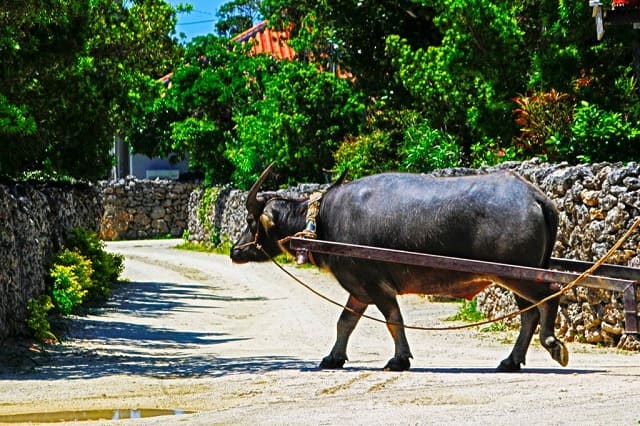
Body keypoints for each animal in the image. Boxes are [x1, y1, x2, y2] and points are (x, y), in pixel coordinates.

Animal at [229, 164, 564, 372]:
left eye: (250, 221)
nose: (235, 251)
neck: (322, 221)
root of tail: (535, 197)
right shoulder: (359, 289)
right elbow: (345, 322)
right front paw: (333, 357)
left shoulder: (375, 285)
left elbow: (393, 321)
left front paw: (399, 359)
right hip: (519, 275)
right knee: (531, 312)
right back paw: (511, 361)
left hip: (516, 273)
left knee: (551, 295)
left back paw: (552, 344)